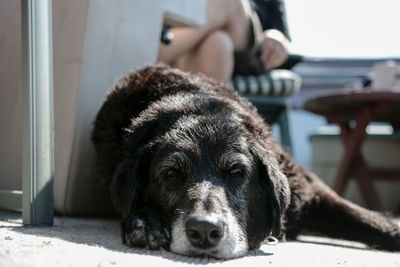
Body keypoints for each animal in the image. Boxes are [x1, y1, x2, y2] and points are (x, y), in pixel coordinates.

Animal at [91, 64, 400, 260]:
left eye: (236, 171)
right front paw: (146, 223)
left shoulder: (308, 191)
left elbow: (366, 218)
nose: (205, 231)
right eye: (171, 174)